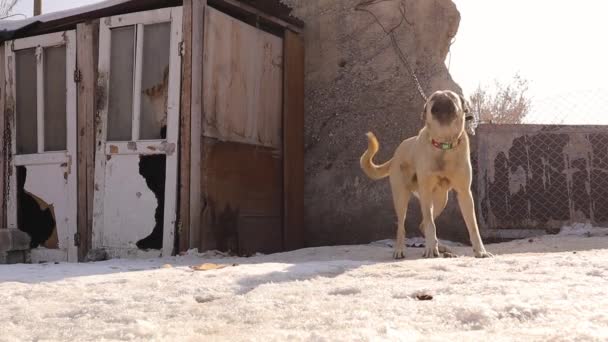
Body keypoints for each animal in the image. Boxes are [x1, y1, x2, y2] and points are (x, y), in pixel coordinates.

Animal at [358, 89, 492, 258]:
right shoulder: (426, 192)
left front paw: (480, 251)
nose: (442, 98)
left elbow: (473, 227)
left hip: (441, 199)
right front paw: (429, 249)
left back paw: (442, 247)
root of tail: (395, 155)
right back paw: (400, 249)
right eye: (433, 97)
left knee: (422, 224)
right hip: (402, 197)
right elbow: (430, 224)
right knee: (402, 226)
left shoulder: (464, 193)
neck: (444, 145)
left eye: (451, 95)